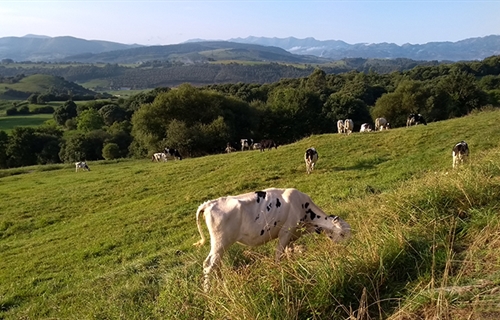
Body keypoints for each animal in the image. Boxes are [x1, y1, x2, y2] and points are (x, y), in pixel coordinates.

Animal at [193, 189, 350, 292]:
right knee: (209, 265)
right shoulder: (285, 232)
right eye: (342, 234)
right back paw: (208, 292)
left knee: (216, 264)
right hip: (220, 242)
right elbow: (278, 255)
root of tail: (209, 203)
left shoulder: (291, 237)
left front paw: (292, 267)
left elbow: (289, 252)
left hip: (221, 245)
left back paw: (222, 285)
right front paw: (279, 272)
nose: (349, 249)